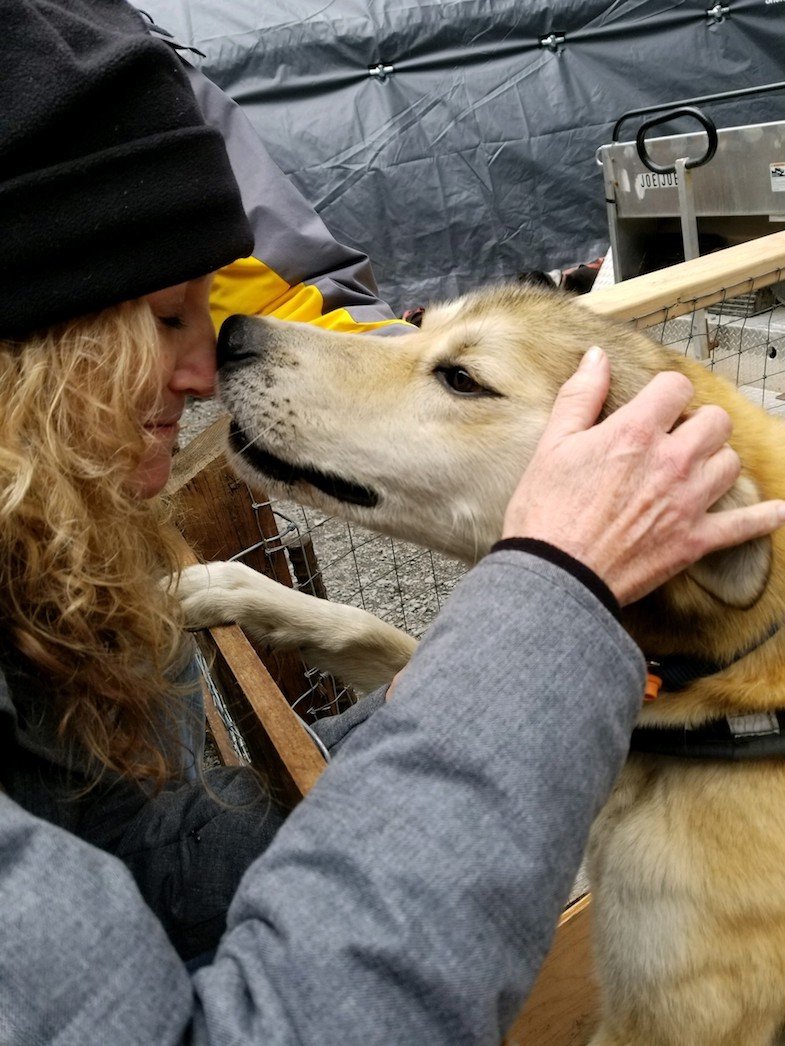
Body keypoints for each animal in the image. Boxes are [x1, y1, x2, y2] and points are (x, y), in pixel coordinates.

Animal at [177, 286, 785, 1046]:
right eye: (417, 324)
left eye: (462, 379)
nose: (232, 334)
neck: (715, 689)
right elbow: (361, 626)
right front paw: (219, 588)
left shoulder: (671, 1017)